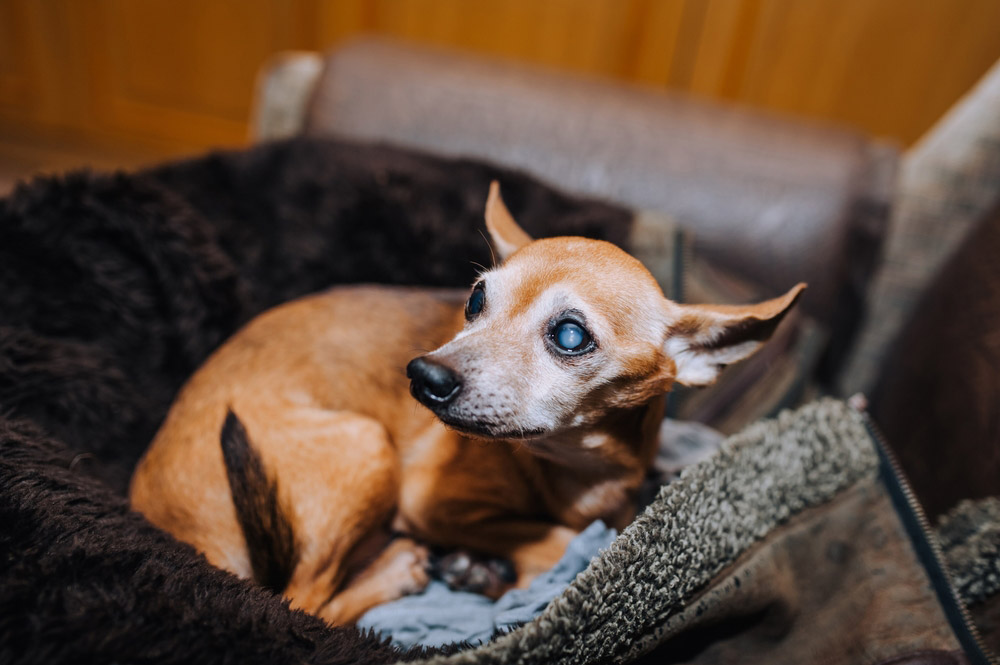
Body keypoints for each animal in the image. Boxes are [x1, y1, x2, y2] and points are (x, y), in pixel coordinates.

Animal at [131, 180, 804, 624]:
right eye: (476, 300)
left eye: (569, 336)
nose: (423, 375)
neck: (579, 469)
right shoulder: (430, 503)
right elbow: (562, 543)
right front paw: (507, 567)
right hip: (366, 448)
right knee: (303, 602)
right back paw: (398, 571)